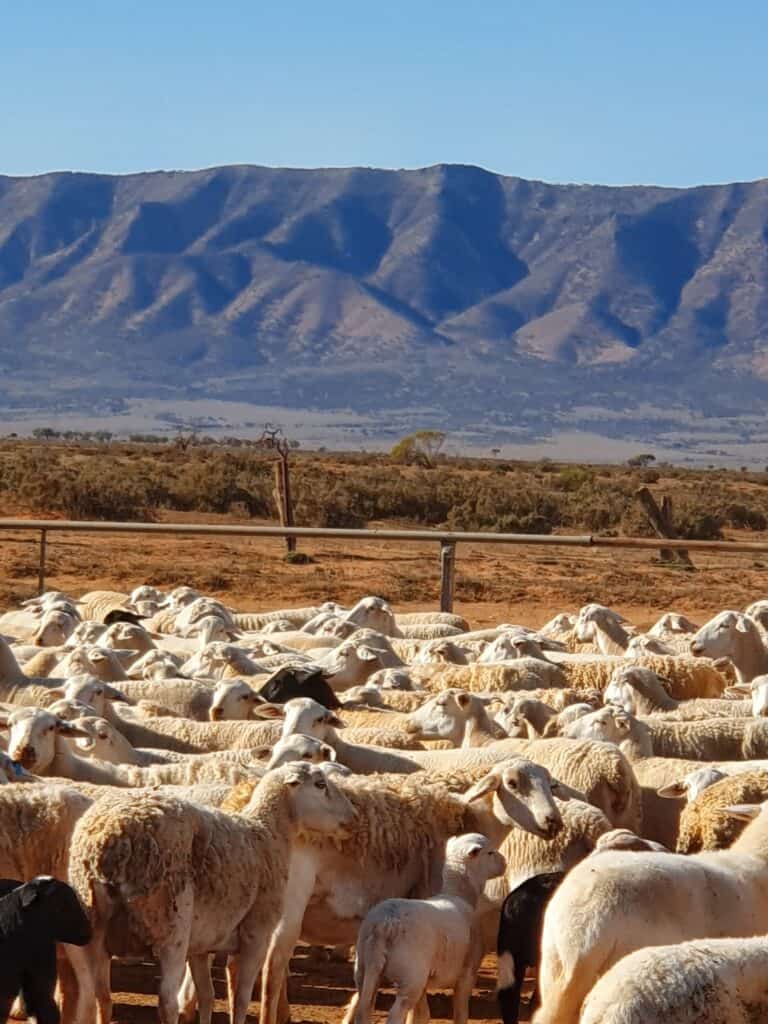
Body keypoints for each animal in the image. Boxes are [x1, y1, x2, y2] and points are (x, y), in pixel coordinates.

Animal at [69, 761, 358, 1024]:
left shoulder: (201, 945)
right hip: (170, 928)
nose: (354, 817)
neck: (267, 832)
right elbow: (240, 998)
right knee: (166, 1003)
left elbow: (207, 995)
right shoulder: (256, 934)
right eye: (320, 785)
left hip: (91, 930)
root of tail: (109, 841)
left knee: (98, 997)